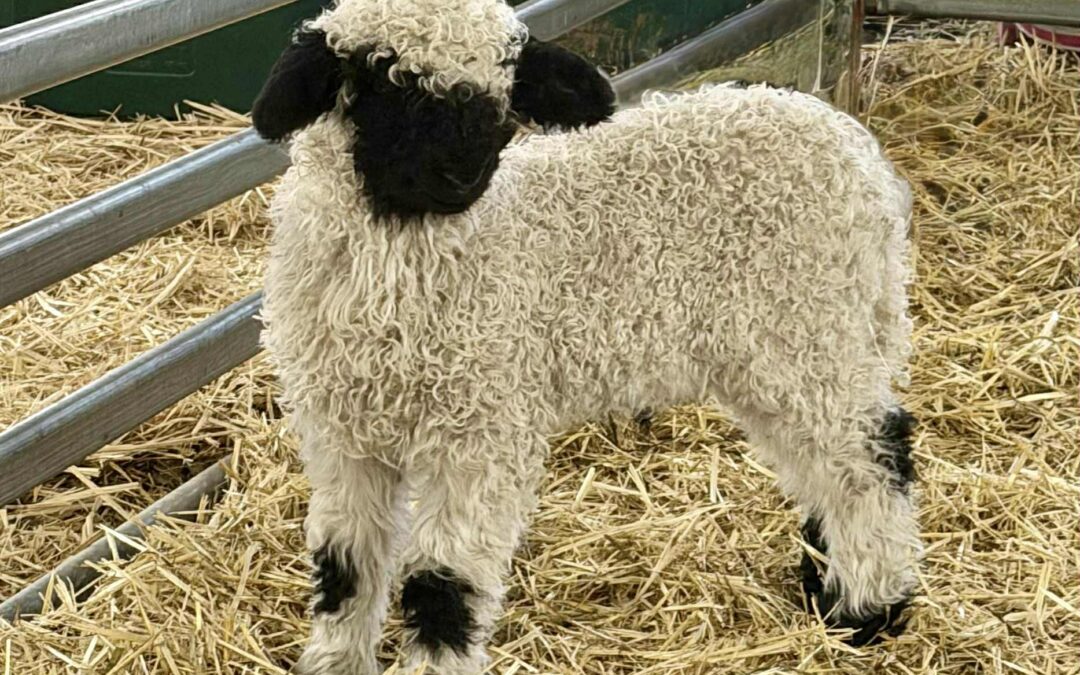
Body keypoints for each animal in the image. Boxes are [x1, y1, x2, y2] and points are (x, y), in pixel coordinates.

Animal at [251, 0, 923, 672]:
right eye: (380, 81)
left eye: (504, 90)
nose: (463, 174)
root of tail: (857, 151)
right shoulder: (342, 437)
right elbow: (344, 568)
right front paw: (333, 660)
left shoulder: (480, 432)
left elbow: (443, 587)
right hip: (786, 346)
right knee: (823, 467)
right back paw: (825, 581)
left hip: (809, 326)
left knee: (871, 455)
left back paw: (865, 607)